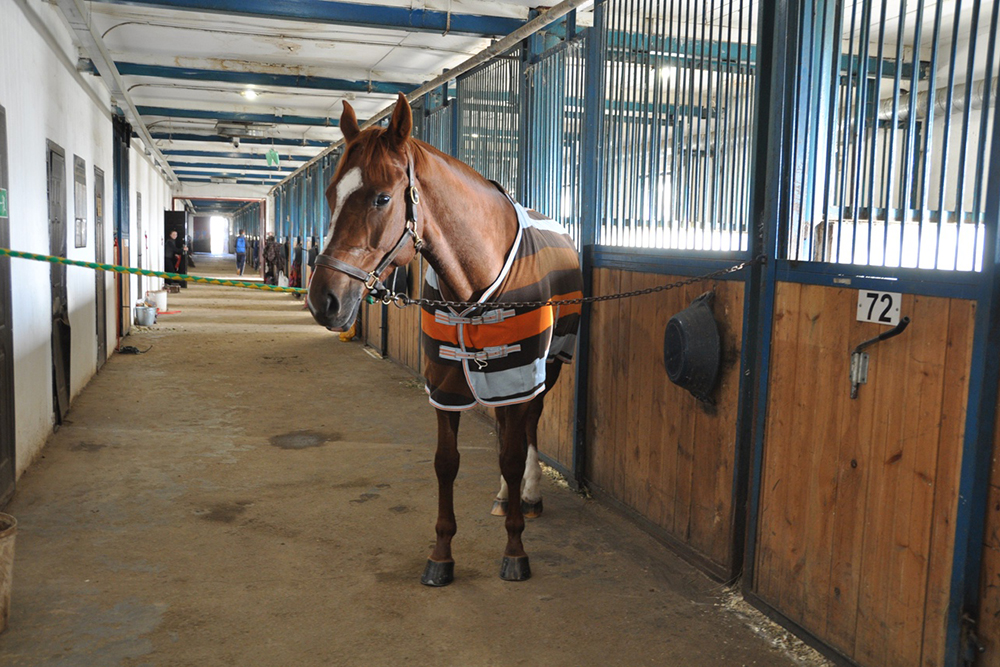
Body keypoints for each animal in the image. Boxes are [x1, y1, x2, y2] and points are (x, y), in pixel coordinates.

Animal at [308, 92, 584, 584]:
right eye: (330, 193)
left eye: (382, 197)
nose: (324, 300)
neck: (475, 274)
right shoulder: (446, 380)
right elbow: (446, 462)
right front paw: (441, 554)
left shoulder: (520, 373)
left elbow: (512, 454)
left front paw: (515, 551)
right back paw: (505, 496)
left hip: (548, 366)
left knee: (529, 426)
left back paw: (529, 495)